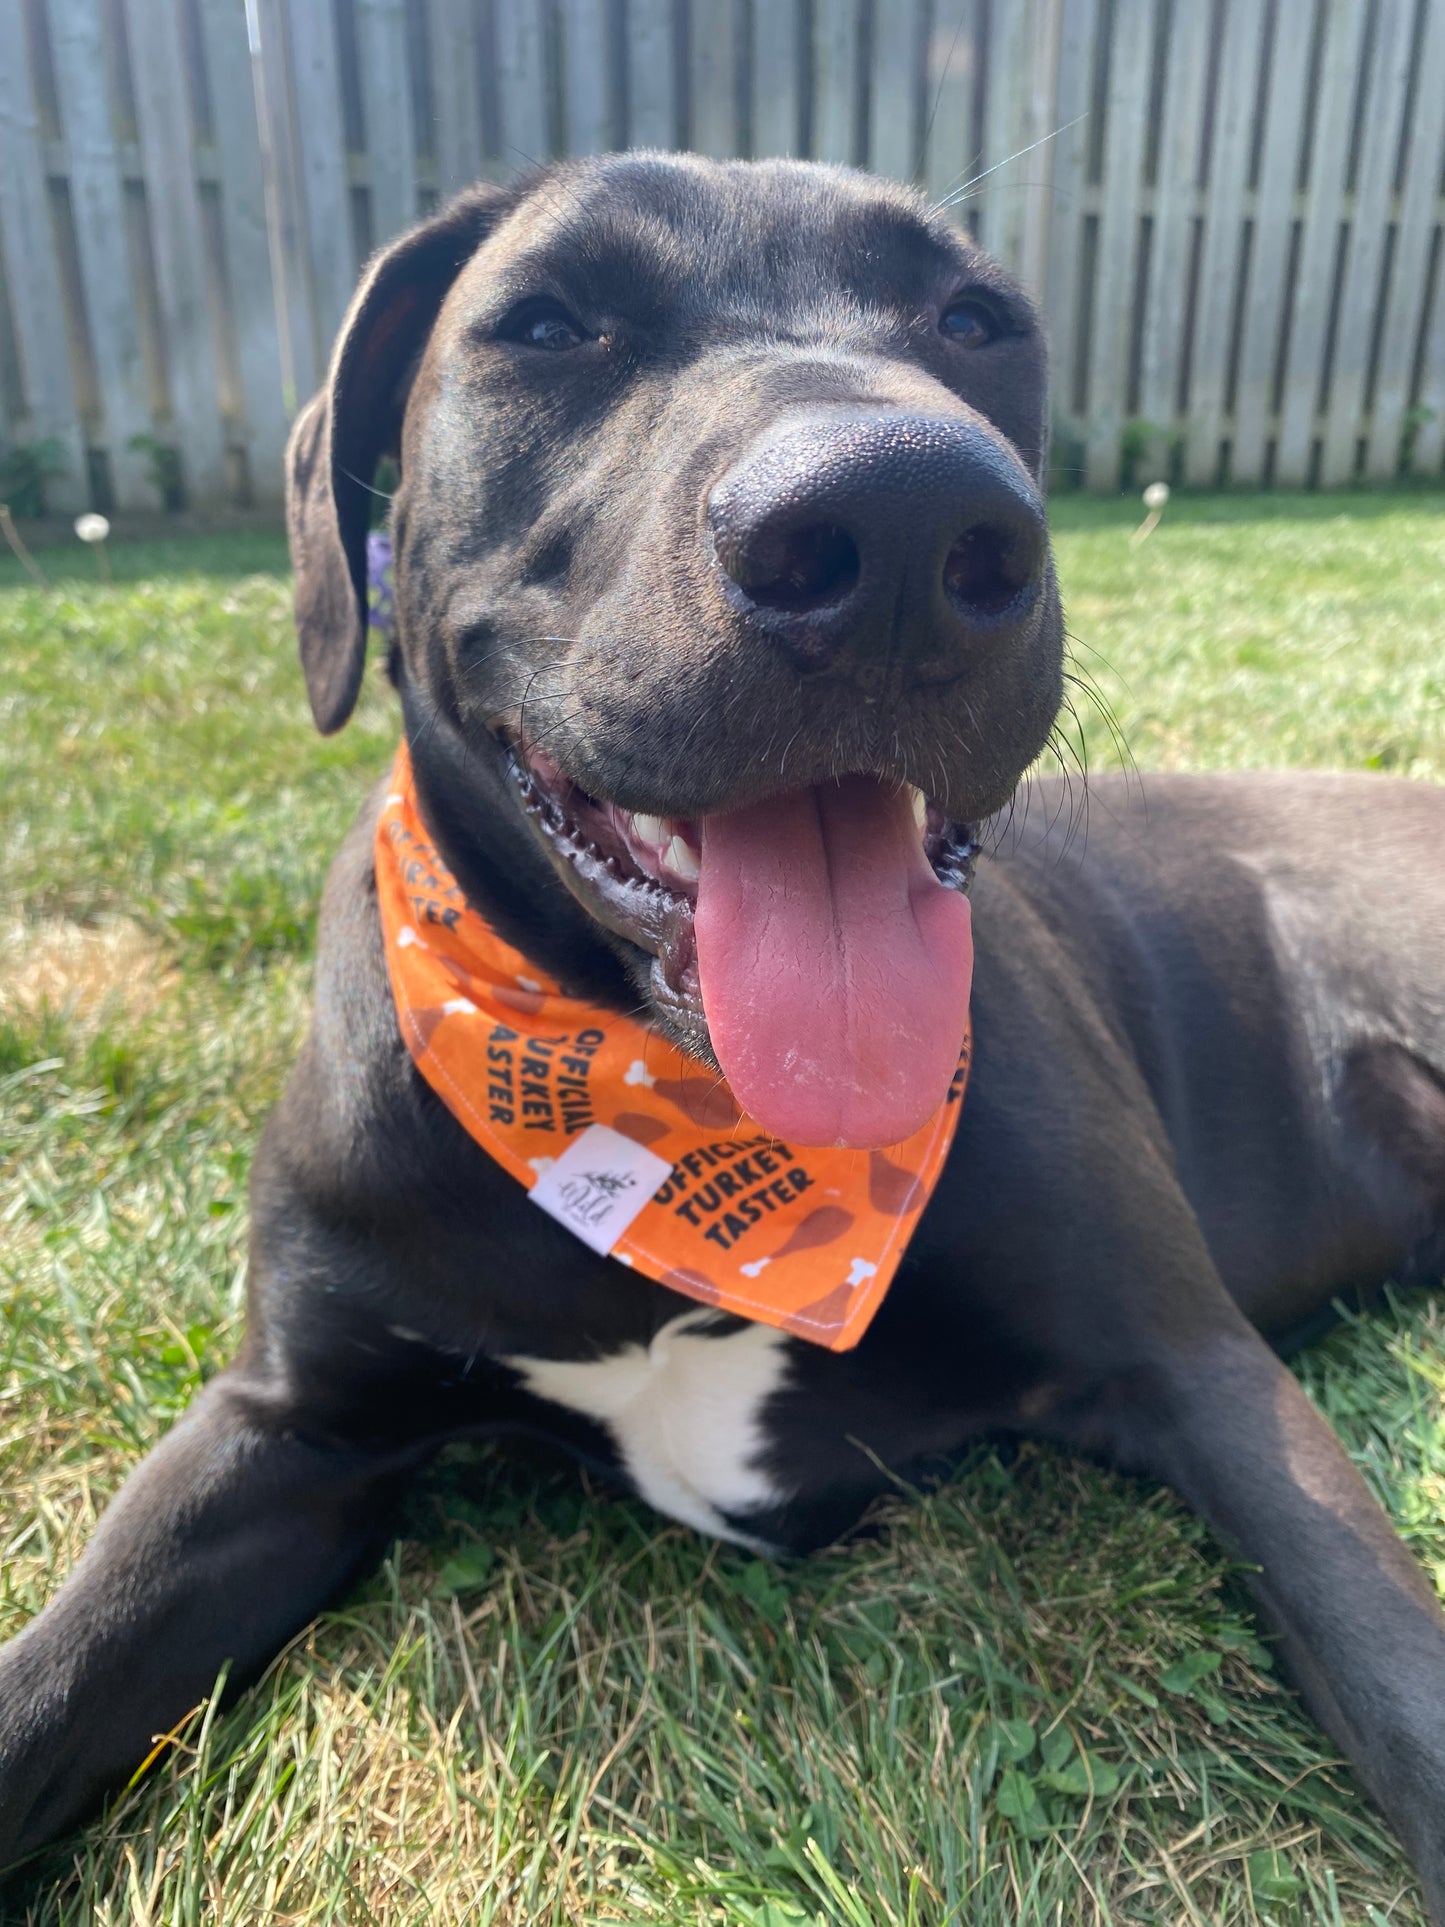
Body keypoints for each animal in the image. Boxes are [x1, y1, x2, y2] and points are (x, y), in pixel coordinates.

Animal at [2, 158, 1445, 1919]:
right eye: (548, 322)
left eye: (974, 319)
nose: (901, 521)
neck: (649, 1103)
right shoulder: (286, 1427)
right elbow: (47, 1684)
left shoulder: (1198, 1367)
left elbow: (1399, 1679)